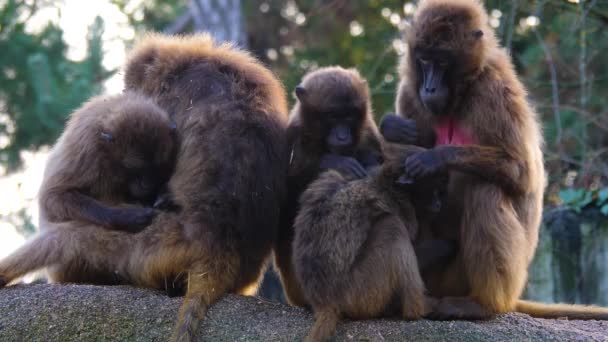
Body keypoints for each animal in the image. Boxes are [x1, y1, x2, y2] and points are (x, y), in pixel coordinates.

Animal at [38, 91, 177, 234]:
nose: (147, 185)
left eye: (157, 167)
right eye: (134, 167)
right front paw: (123, 217)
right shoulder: (87, 152)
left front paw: (164, 196)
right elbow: (52, 198)